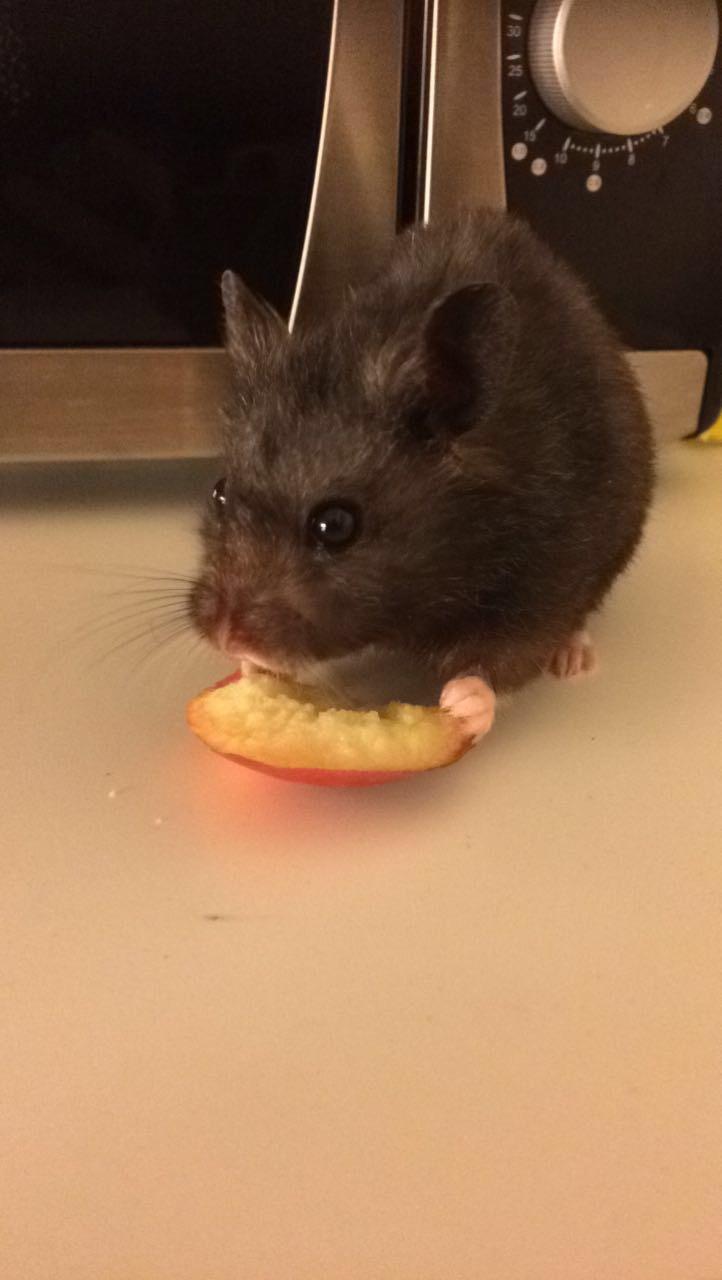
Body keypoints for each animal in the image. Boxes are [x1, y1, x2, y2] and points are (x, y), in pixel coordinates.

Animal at [190, 209, 654, 740]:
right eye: (220, 492)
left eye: (335, 525)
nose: (227, 638)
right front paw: (255, 671)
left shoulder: (547, 573)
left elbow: (507, 656)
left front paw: (458, 706)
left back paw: (574, 660)